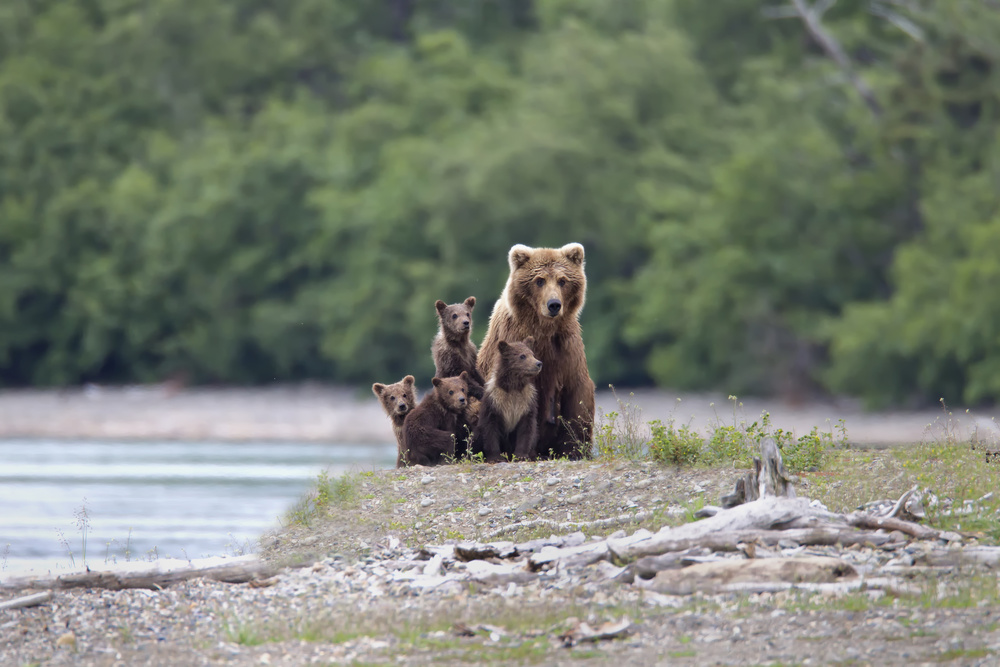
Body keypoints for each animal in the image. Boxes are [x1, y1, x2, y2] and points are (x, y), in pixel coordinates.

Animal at [477, 242, 596, 460]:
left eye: (562, 280)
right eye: (539, 280)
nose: (554, 305)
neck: (544, 330)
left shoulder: (567, 350)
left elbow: (577, 398)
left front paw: (575, 449)